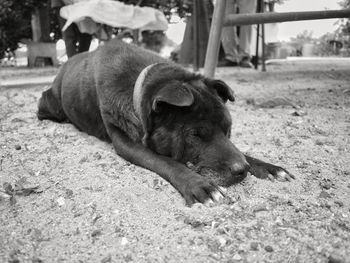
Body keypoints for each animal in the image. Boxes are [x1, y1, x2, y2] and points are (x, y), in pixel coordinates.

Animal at [38, 40, 294, 207]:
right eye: (194, 134)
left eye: (228, 129)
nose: (242, 170)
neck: (138, 85)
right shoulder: (127, 143)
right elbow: (167, 162)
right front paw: (200, 186)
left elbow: (238, 150)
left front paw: (267, 167)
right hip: (49, 102)